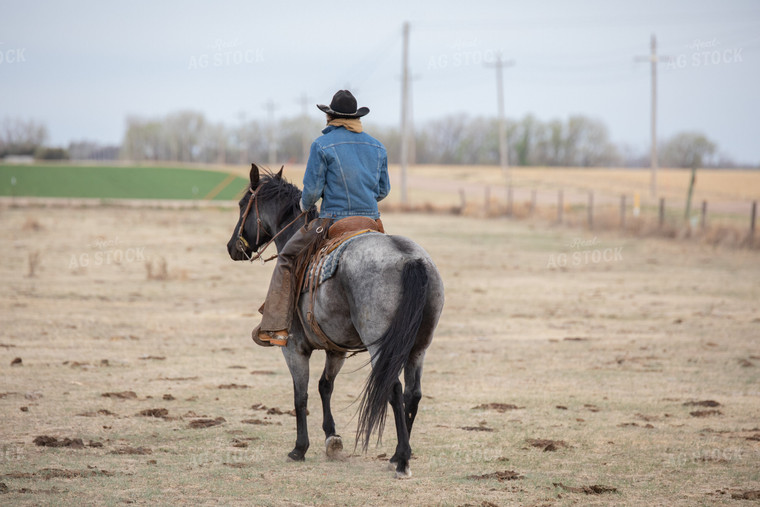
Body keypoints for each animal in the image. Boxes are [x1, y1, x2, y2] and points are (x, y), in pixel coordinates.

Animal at [229, 165, 448, 478]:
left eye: (242, 204)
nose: (232, 247)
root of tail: (410, 259)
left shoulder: (294, 348)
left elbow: (300, 395)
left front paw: (299, 449)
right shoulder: (337, 349)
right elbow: (325, 386)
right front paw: (332, 437)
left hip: (381, 346)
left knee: (392, 388)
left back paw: (403, 460)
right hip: (419, 346)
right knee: (412, 393)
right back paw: (397, 454)